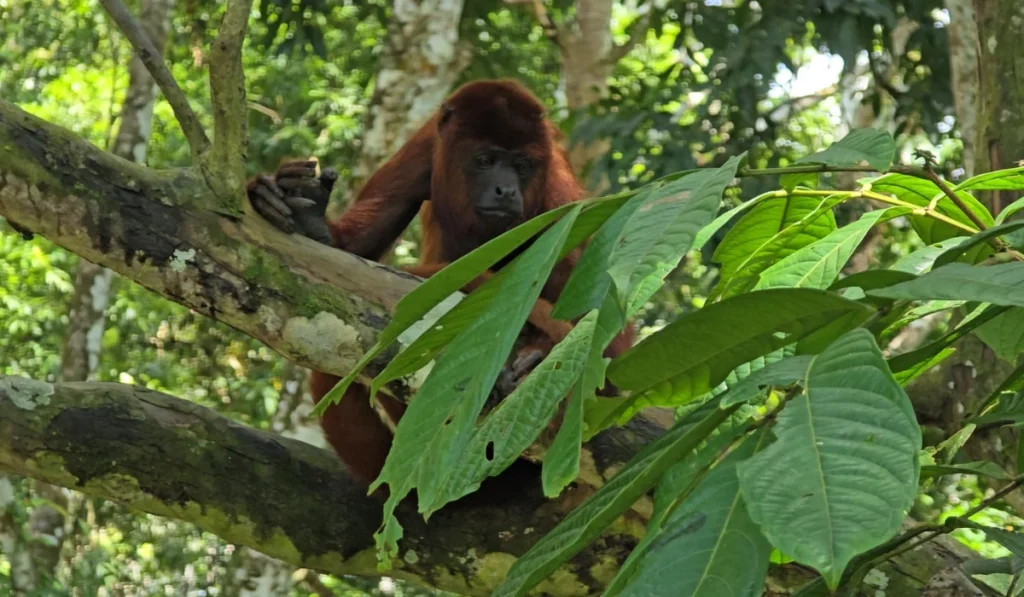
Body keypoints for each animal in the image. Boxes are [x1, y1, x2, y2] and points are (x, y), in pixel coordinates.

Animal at [247, 79, 635, 487]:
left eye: (521, 166)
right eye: (485, 160)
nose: (506, 190)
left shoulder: (558, 191)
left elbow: (613, 333)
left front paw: (543, 352)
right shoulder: (425, 145)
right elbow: (350, 251)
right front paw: (310, 217)